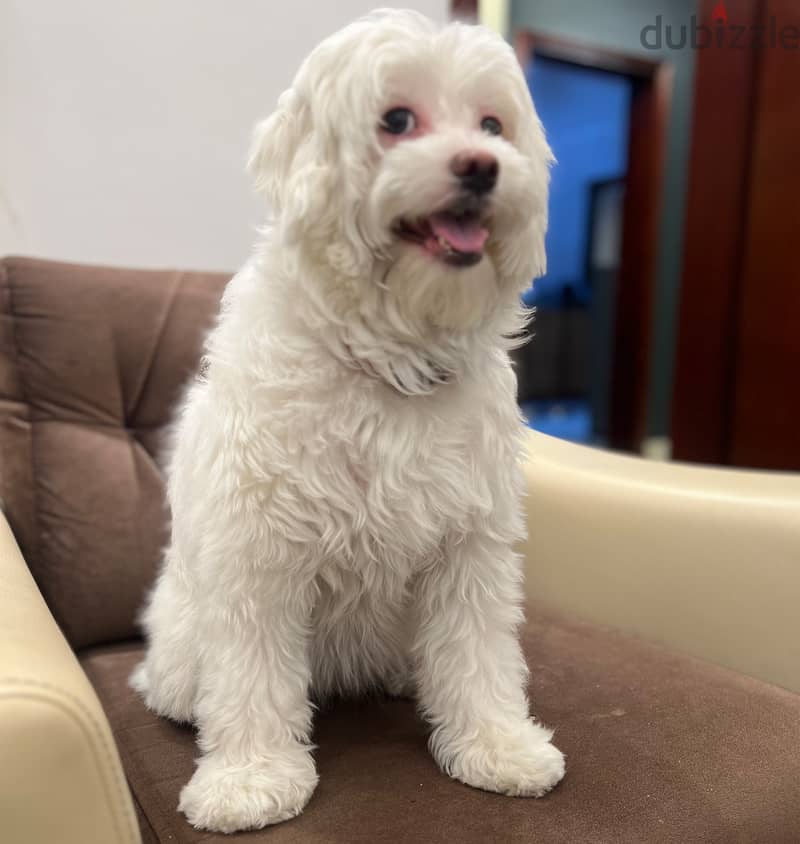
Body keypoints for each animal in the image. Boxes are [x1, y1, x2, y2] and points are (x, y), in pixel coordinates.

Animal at [131, 9, 564, 836]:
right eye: (396, 120)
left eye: (493, 126)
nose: (482, 166)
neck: (388, 355)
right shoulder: (258, 551)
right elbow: (251, 674)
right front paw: (249, 779)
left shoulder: (471, 545)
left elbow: (478, 652)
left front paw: (498, 745)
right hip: (181, 635)